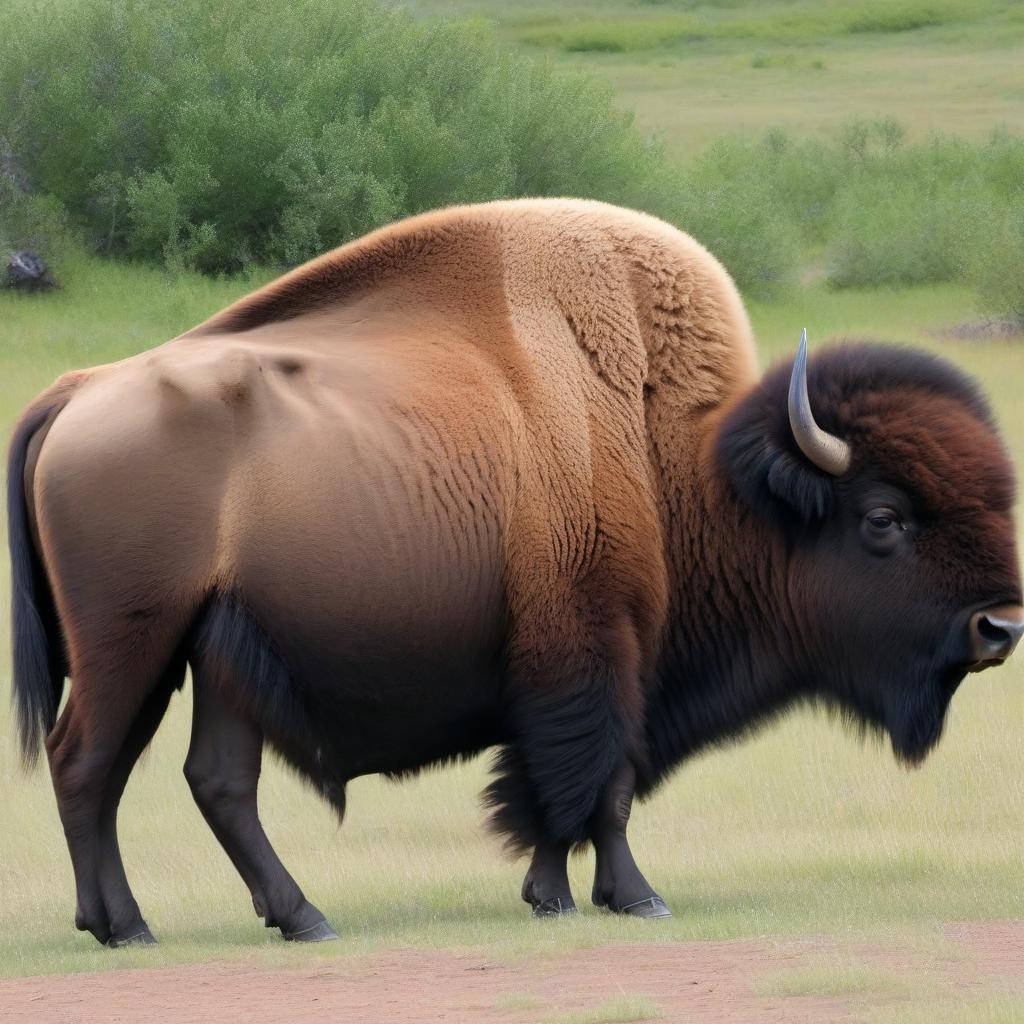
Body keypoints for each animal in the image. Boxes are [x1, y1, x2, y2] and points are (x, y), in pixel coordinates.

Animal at [8, 197, 1024, 942]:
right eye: (884, 519)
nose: (1000, 626)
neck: (677, 458)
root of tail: (77, 391)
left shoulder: (584, 666)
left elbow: (561, 791)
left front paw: (553, 894)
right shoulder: (598, 651)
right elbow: (598, 783)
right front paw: (633, 897)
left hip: (219, 648)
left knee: (215, 781)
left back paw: (298, 918)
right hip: (131, 644)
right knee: (85, 763)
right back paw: (126, 926)